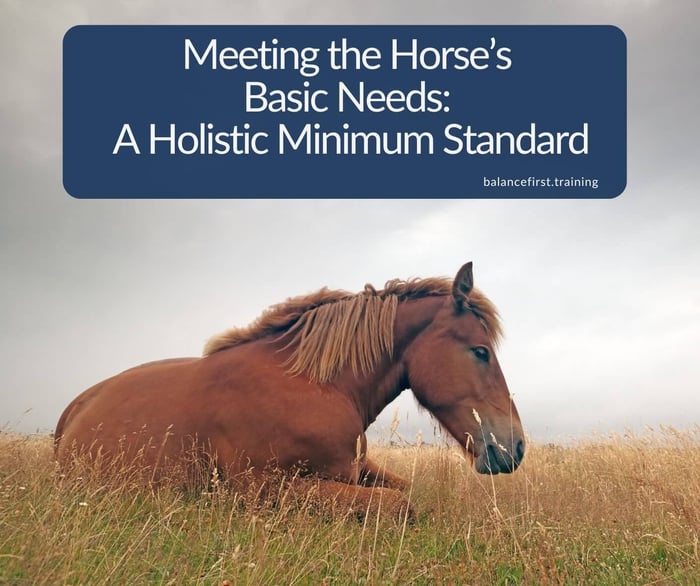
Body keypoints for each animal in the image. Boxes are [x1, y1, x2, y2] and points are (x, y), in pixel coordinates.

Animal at [55, 262, 525, 519]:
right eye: (480, 351)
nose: (515, 447)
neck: (314, 386)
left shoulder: (358, 468)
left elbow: (405, 490)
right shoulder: (261, 489)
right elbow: (398, 506)